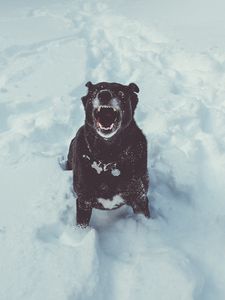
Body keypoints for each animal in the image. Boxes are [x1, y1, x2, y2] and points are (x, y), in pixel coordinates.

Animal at [65, 81, 149, 226]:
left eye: (121, 93)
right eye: (94, 93)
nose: (104, 94)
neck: (108, 155)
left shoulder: (140, 197)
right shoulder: (84, 200)